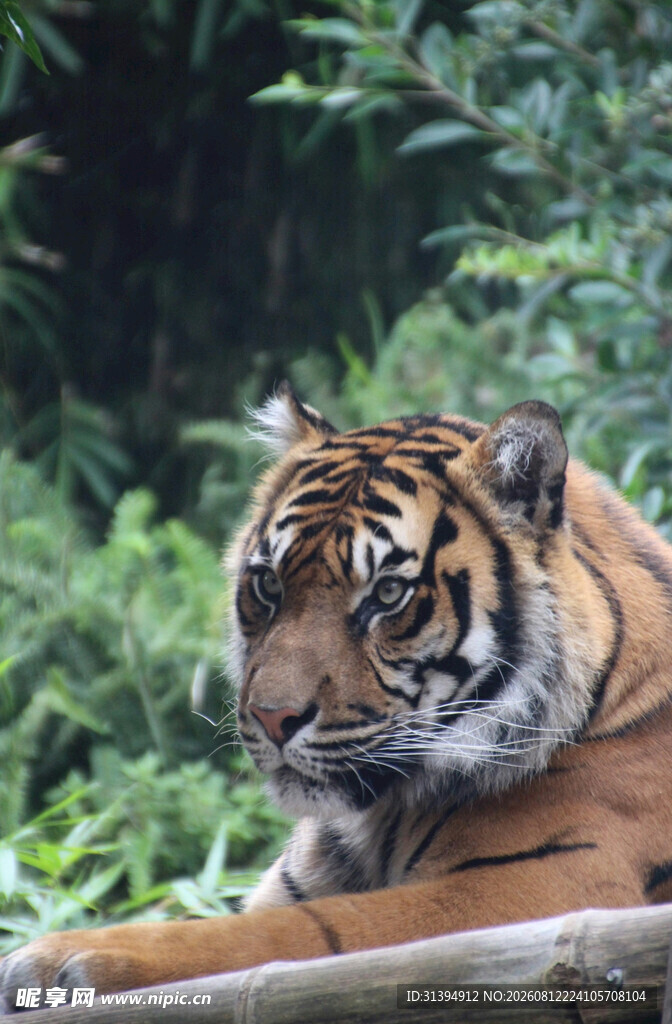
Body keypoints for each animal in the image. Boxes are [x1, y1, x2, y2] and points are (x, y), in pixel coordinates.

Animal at [3, 383, 672, 1009]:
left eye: (387, 594)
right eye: (268, 584)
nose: (272, 717)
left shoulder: (526, 892)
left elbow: (285, 935)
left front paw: (70, 957)